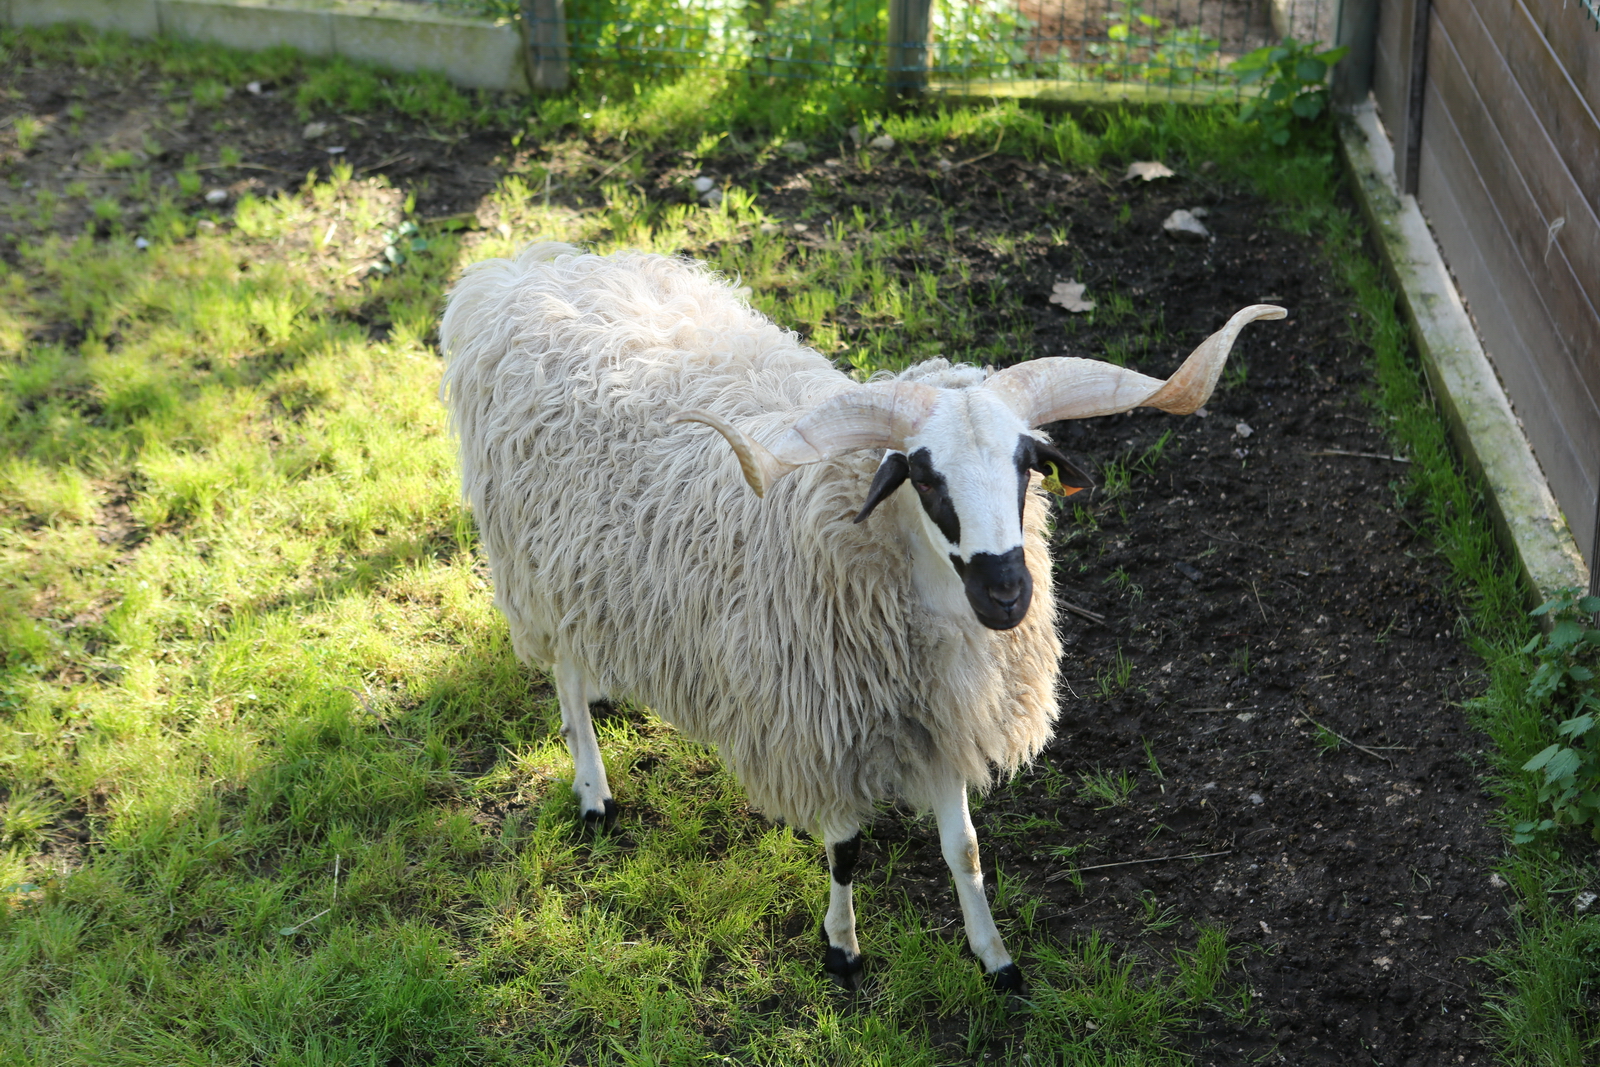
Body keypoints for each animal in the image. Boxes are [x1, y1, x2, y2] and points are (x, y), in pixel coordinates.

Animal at [441, 241, 1286, 991]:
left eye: (1026, 462)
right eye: (924, 475)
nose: (1007, 592)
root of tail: (530, 268)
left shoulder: (937, 718)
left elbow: (965, 848)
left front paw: (995, 957)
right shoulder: (822, 730)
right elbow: (846, 851)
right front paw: (842, 949)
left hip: (593, 573)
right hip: (536, 562)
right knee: (563, 676)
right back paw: (593, 788)